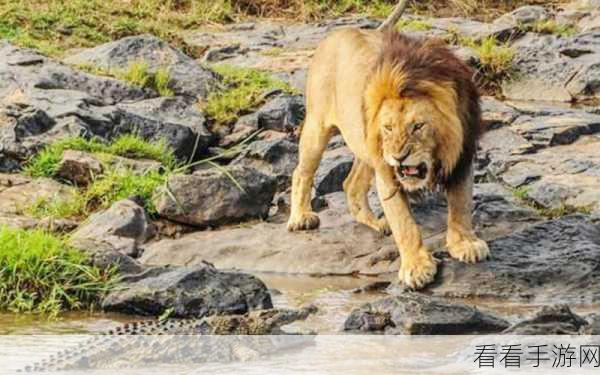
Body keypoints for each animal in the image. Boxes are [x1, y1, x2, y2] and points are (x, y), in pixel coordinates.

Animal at [288, 27, 490, 290]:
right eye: (388, 127)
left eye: (418, 126)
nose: (399, 157)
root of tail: (336, 32)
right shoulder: (386, 172)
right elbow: (404, 223)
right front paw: (416, 267)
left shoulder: (462, 158)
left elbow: (461, 204)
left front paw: (464, 243)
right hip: (318, 127)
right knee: (301, 172)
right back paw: (300, 217)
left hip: (365, 145)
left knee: (351, 184)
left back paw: (376, 223)